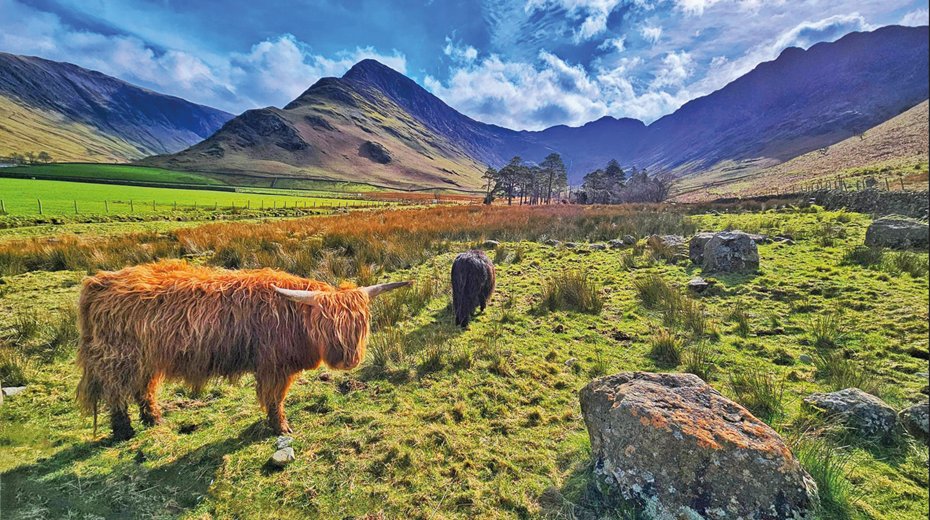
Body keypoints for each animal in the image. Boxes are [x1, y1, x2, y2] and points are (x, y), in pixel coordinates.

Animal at [78, 260, 412, 438]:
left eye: (361, 324)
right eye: (328, 324)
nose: (349, 360)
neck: (295, 318)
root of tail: (101, 281)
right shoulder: (274, 367)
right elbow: (275, 399)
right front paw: (280, 427)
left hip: (148, 358)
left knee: (144, 387)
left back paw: (153, 419)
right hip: (120, 358)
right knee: (116, 394)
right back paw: (124, 430)